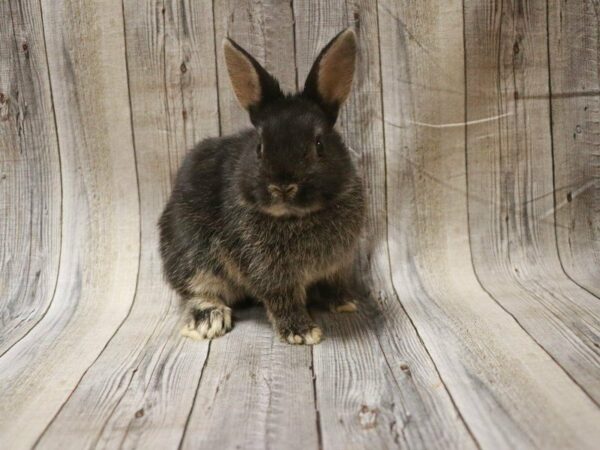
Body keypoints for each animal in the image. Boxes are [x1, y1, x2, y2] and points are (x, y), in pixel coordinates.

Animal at [158, 28, 366, 344]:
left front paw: (344, 302)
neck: (295, 217)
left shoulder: (336, 266)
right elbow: (282, 299)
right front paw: (302, 332)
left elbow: (332, 283)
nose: (283, 187)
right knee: (197, 288)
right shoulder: (268, 272)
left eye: (319, 145)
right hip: (190, 253)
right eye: (259, 147)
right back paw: (208, 320)